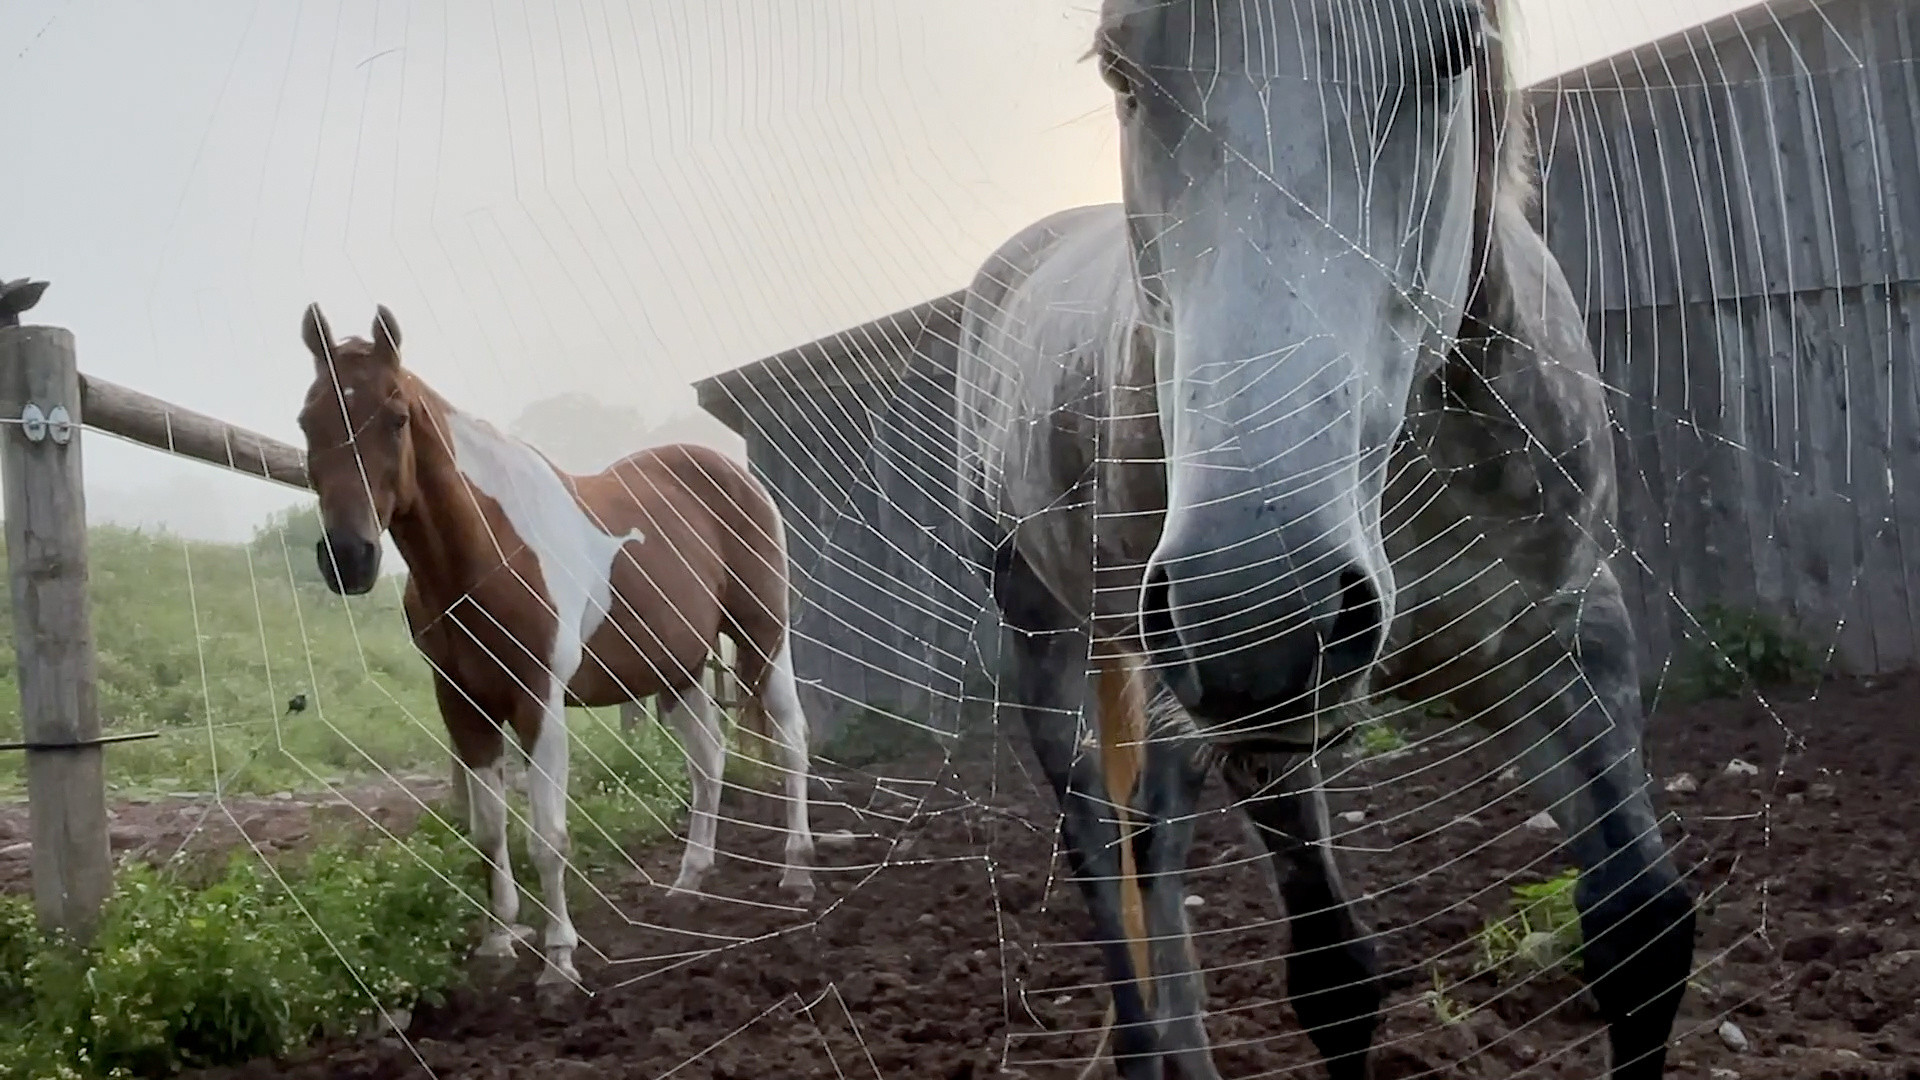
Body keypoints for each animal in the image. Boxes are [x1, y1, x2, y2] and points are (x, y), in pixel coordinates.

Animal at [293, 303, 817, 991]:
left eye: (396, 417)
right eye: (307, 420)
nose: (348, 558)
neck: (487, 551)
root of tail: (734, 472)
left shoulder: (538, 701)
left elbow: (548, 835)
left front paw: (560, 960)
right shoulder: (464, 706)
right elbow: (488, 832)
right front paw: (498, 941)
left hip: (762, 639)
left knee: (789, 740)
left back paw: (798, 869)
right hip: (675, 669)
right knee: (709, 758)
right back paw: (688, 881)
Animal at [952, 1, 1697, 1077]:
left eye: (1453, 47)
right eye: (1121, 70)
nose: (1258, 610)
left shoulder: (1568, 638)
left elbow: (1641, 932)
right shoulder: (1262, 724)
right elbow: (1334, 981)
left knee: (1152, 841)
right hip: (1049, 636)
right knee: (1097, 845)